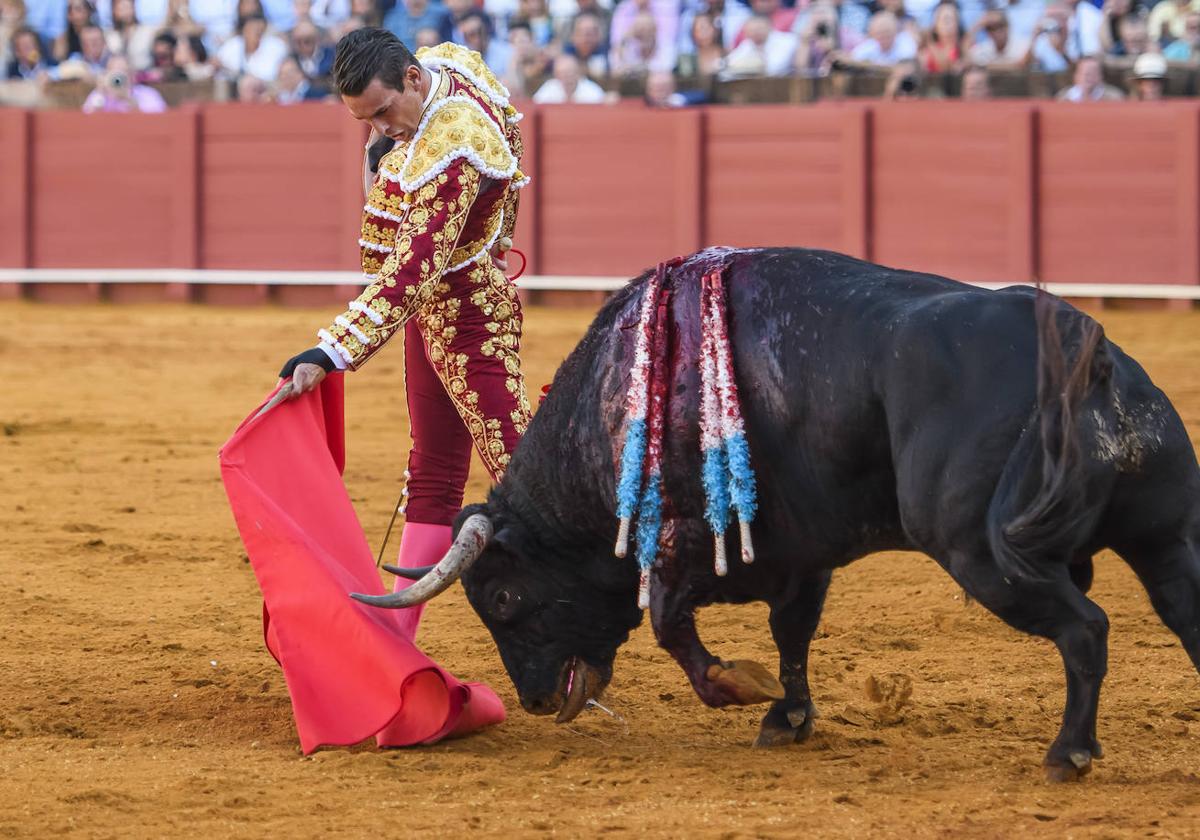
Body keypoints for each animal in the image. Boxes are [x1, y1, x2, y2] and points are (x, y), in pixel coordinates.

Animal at [355, 247, 1200, 782]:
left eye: (503, 597)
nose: (533, 700)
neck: (617, 403)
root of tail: (1085, 351)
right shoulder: (802, 552)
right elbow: (792, 634)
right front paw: (787, 715)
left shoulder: (687, 545)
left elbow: (673, 626)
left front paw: (740, 688)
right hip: (1163, 539)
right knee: (1181, 615)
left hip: (980, 554)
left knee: (1085, 630)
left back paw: (1068, 754)